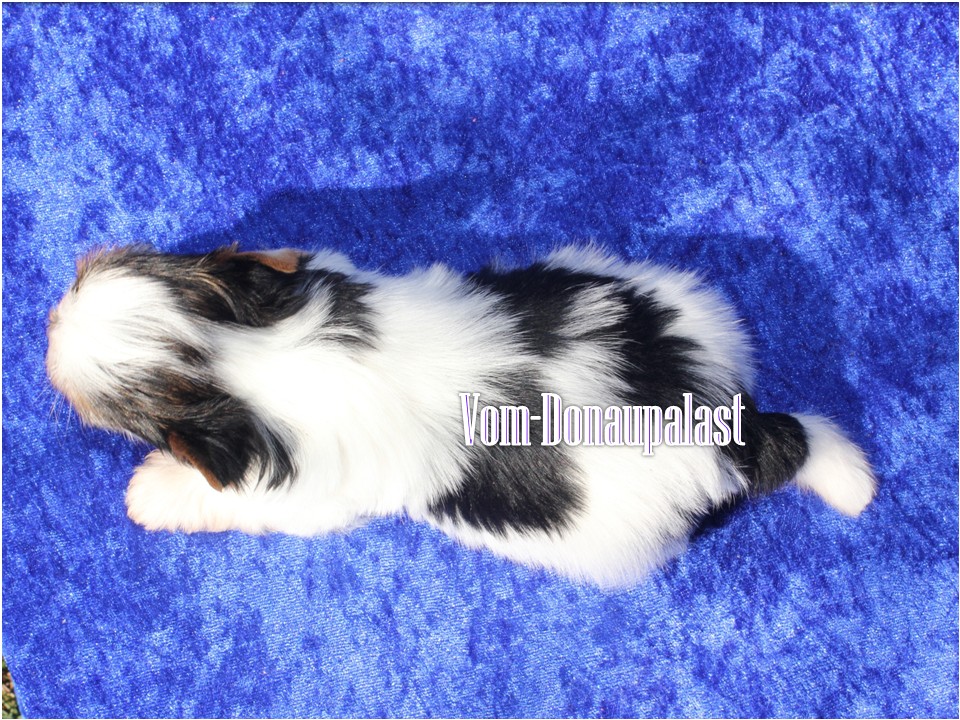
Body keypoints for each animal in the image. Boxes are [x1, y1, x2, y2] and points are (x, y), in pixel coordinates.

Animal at [45, 244, 876, 587]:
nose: (51, 321)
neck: (245, 352)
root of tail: (738, 427)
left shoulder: (304, 493)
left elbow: (232, 498)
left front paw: (153, 492)